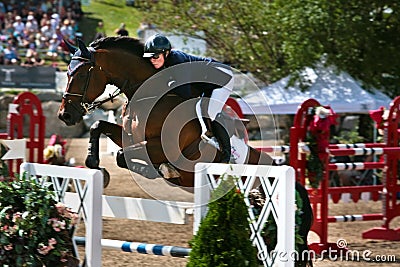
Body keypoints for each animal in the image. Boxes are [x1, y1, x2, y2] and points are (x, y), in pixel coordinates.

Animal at [56, 37, 312, 266]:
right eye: (67, 73)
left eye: (81, 75)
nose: (64, 115)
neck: (147, 96)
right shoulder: (128, 136)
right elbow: (100, 128)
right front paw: (95, 164)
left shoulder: (165, 148)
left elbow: (123, 156)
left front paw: (160, 171)